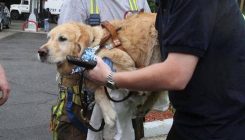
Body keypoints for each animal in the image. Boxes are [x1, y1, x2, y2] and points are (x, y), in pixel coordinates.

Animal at [37, 12, 168, 139]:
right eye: (48, 38)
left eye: (62, 38)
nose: (40, 52)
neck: (93, 44)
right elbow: (98, 90)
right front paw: (108, 111)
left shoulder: (114, 57)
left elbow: (106, 69)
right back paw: (144, 107)